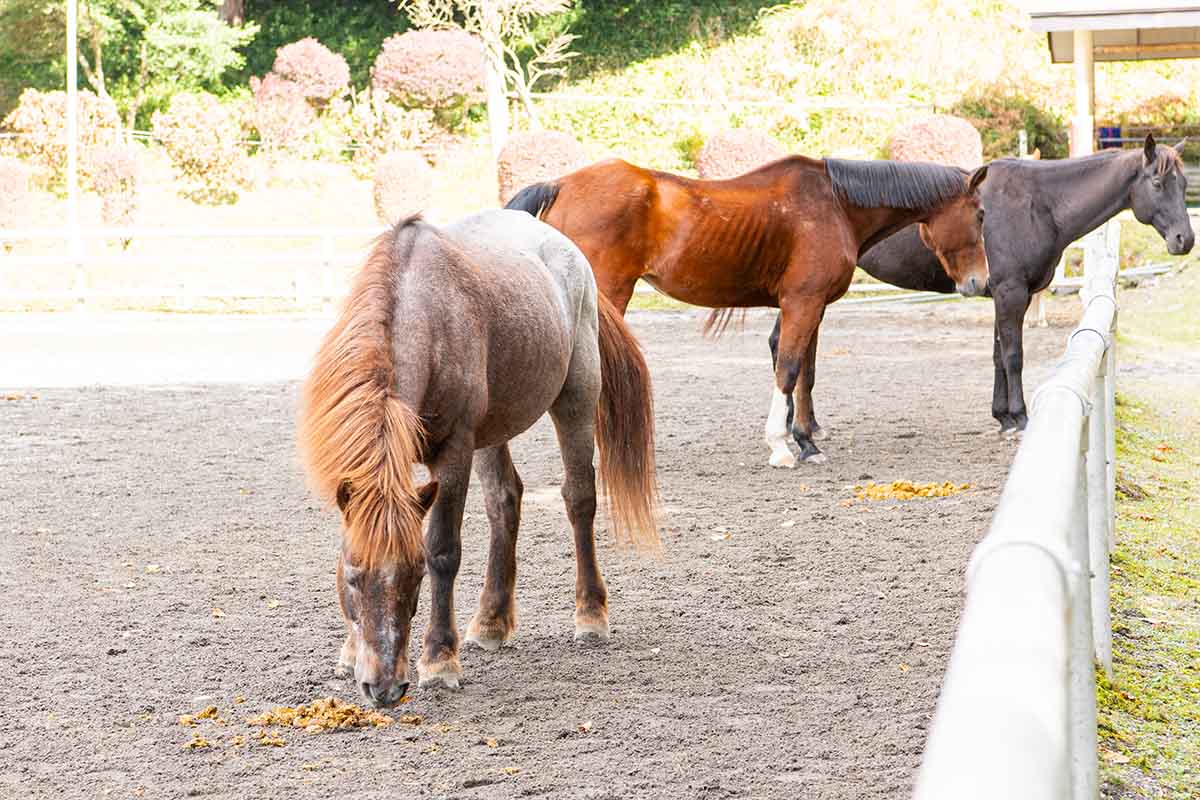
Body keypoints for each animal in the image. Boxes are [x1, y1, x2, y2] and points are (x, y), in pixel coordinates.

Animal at [298, 210, 659, 707]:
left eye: (416, 576)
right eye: (352, 576)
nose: (385, 687)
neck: (420, 315)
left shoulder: (455, 450)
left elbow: (444, 549)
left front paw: (439, 659)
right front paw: (352, 652)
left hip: (577, 397)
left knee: (579, 498)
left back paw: (590, 614)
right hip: (493, 428)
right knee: (505, 502)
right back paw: (491, 621)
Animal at [505, 155, 990, 467]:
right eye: (981, 214)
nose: (979, 283)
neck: (834, 203)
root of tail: (561, 185)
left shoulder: (808, 306)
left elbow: (804, 371)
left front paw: (806, 438)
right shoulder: (803, 303)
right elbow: (789, 369)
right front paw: (782, 445)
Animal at [765, 135, 1193, 438]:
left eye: (1183, 182)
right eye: (1158, 181)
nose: (1184, 240)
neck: (1040, 204)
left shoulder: (1007, 295)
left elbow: (997, 355)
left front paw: (1002, 416)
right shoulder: (1010, 293)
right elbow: (1014, 356)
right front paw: (1019, 417)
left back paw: (802, 425)